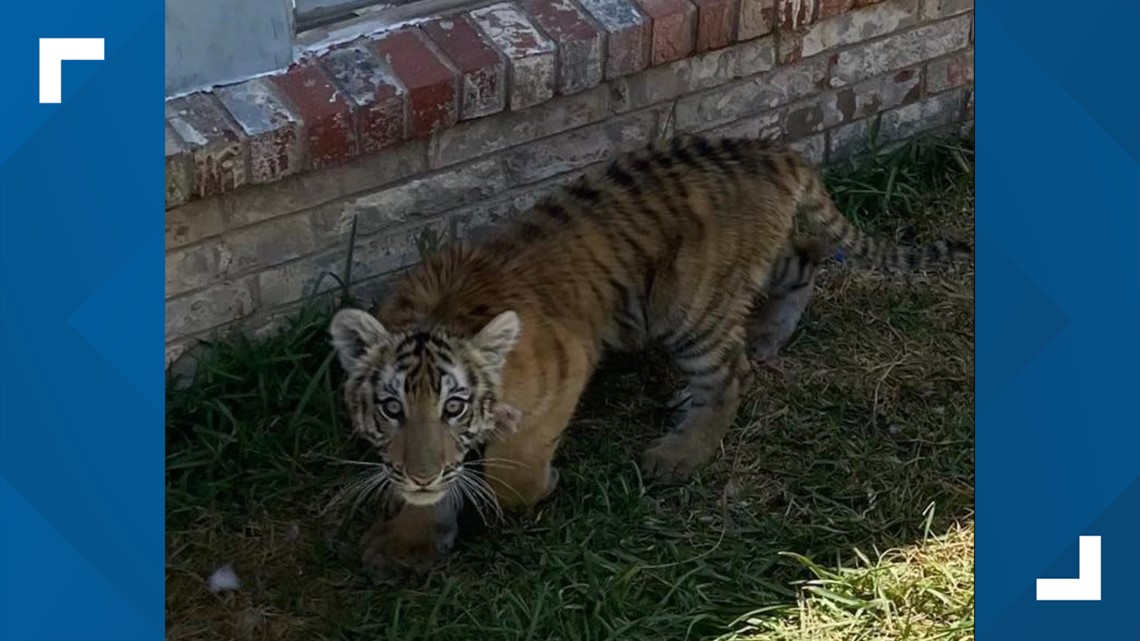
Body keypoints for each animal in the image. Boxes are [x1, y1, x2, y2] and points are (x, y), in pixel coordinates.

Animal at [328, 135, 971, 582]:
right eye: (390, 408)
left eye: (455, 406)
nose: (420, 472)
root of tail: (773, 151)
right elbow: (431, 487)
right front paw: (409, 541)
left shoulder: (562, 374)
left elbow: (512, 475)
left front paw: (531, 487)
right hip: (756, 268)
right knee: (808, 259)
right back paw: (767, 338)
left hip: (687, 306)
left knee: (730, 374)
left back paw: (679, 454)